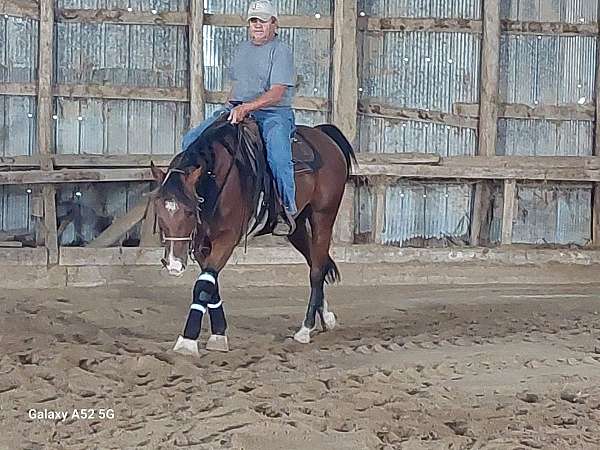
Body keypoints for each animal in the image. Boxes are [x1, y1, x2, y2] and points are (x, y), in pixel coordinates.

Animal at [151, 113, 356, 356]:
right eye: (159, 211)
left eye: (190, 211)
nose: (173, 264)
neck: (216, 179)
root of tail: (323, 135)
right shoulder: (202, 244)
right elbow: (210, 284)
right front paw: (219, 334)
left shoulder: (227, 239)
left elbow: (203, 286)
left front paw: (187, 341)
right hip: (296, 226)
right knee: (317, 262)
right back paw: (325, 317)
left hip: (323, 216)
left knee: (316, 270)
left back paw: (305, 329)